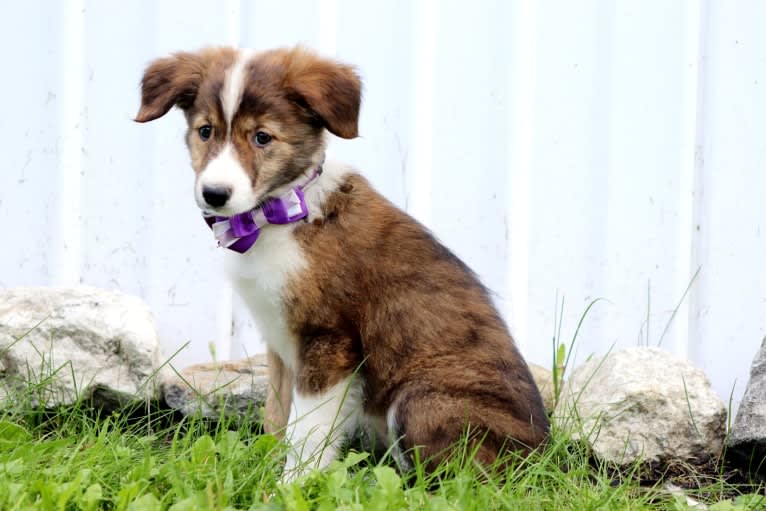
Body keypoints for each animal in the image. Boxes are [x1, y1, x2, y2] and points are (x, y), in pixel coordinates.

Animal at [135, 47, 548, 480]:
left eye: (262, 137)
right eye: (205, 131)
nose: (214, 194)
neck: (280, 214)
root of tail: (541, 460)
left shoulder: (329, 343)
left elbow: (307, 433)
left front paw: (291, 484)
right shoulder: (280, 345)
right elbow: (276, 416)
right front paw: (263, 471)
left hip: (421, 399)